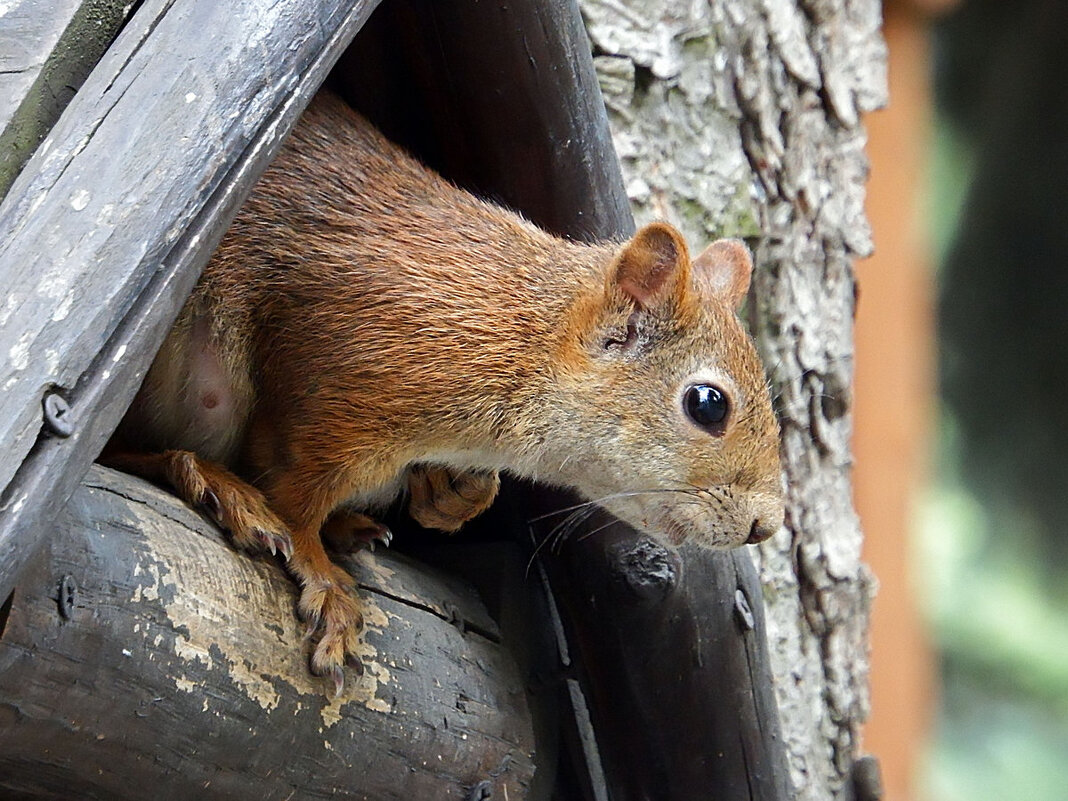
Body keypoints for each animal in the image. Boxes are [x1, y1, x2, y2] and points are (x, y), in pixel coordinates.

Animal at [106, 90, 786, 696]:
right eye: (707, 404)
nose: (765, 526)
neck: (520, 341)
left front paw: (452, 493)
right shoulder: (340, 392)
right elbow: (295, 494)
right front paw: (323, 577)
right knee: (120, 449)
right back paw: (216, 483)